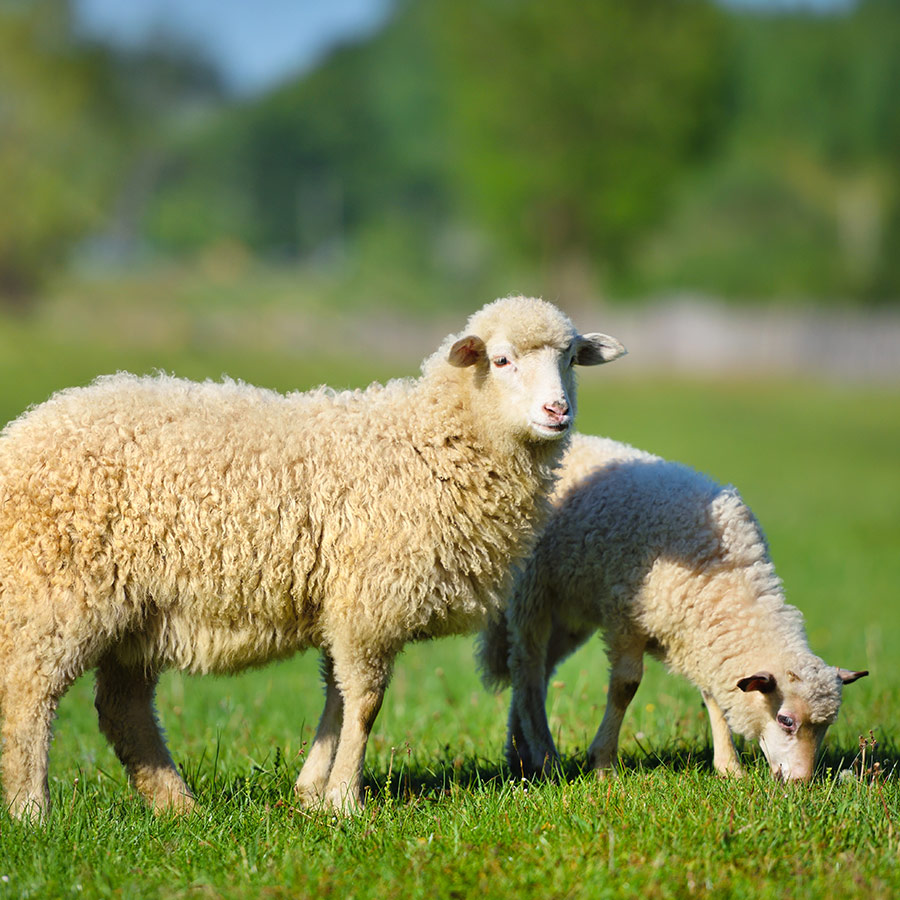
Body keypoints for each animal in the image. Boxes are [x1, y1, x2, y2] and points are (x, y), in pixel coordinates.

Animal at [0, 298, 624, 824]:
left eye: (571, 358)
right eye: (501, 360)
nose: (557, 411)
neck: (431, 442)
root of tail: (22, 431)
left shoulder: (344, 601)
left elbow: (337, 699)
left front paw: (310, 791)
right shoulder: (370, 601)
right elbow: (365, 704)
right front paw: (346, 799)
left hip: (139, 611)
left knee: (122, 708)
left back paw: (178, 807)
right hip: (58, 593)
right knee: (29, 695)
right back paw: (33, 811)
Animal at [482, 434, 868, 780]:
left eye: (826, 726)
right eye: (786, 720)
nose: (800, 782)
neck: (727, 577)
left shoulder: (699, 634)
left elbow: (713, 695)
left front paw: (729, 769)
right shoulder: (626, 618)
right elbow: (625, 687)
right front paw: (603, 763)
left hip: (569, 612)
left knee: (537, 671)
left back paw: (520, 753)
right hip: (532, 590)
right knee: (527, 668)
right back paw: (543, 755)